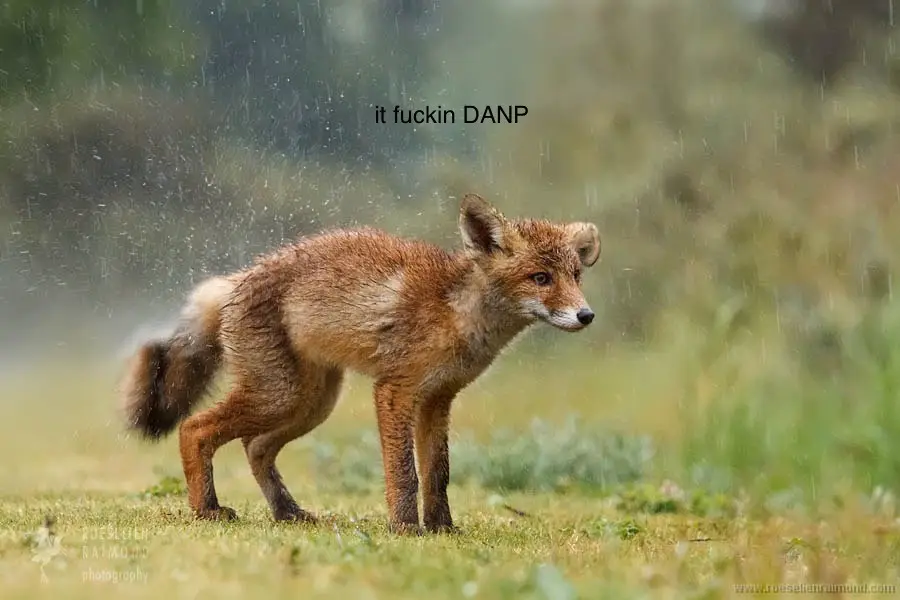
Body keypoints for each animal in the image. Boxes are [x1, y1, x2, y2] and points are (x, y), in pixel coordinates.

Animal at [120, 193, 601, 534]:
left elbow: (438, 473)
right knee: (194, 429)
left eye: (576, 276)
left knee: (255, 447)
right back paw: (207, 509)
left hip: (312, 403)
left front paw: (442, 528)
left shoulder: (437, 399)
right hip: (278, 395)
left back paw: (287, 512)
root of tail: (237, 279)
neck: (456, 313)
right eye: (540, 278)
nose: (586, 315)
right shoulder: (394, 389)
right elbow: (405, 472)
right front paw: (406, 527)